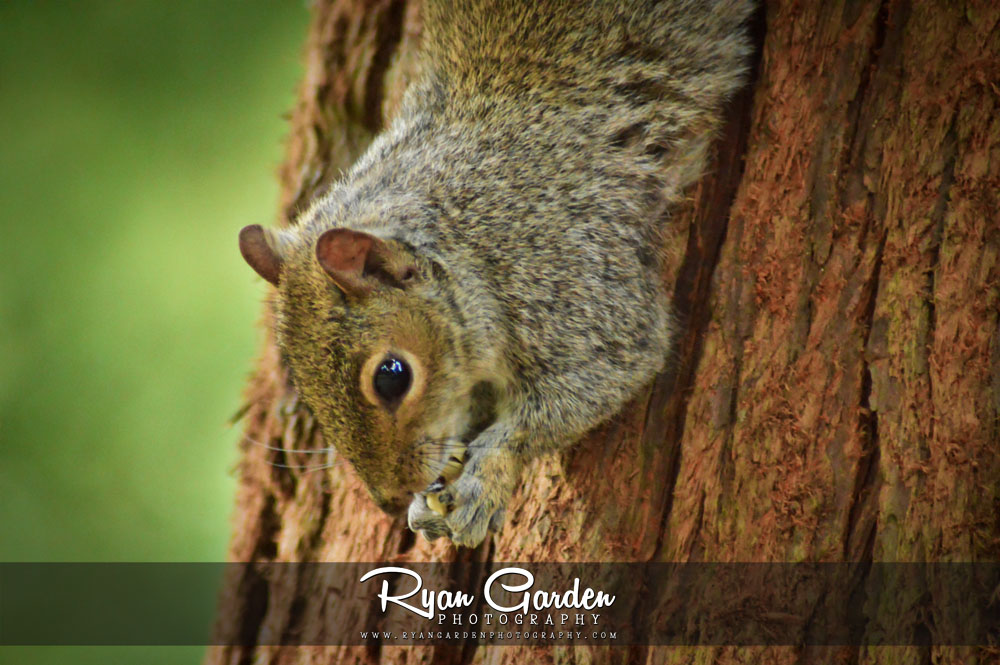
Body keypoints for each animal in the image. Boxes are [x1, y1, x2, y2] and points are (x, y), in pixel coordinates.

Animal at [239, 0, 752, 548]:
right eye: (302, 383)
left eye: (392, 377)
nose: (390, 501)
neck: (470, 238)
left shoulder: (574, 282)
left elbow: (590, 382)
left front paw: (483, 480)